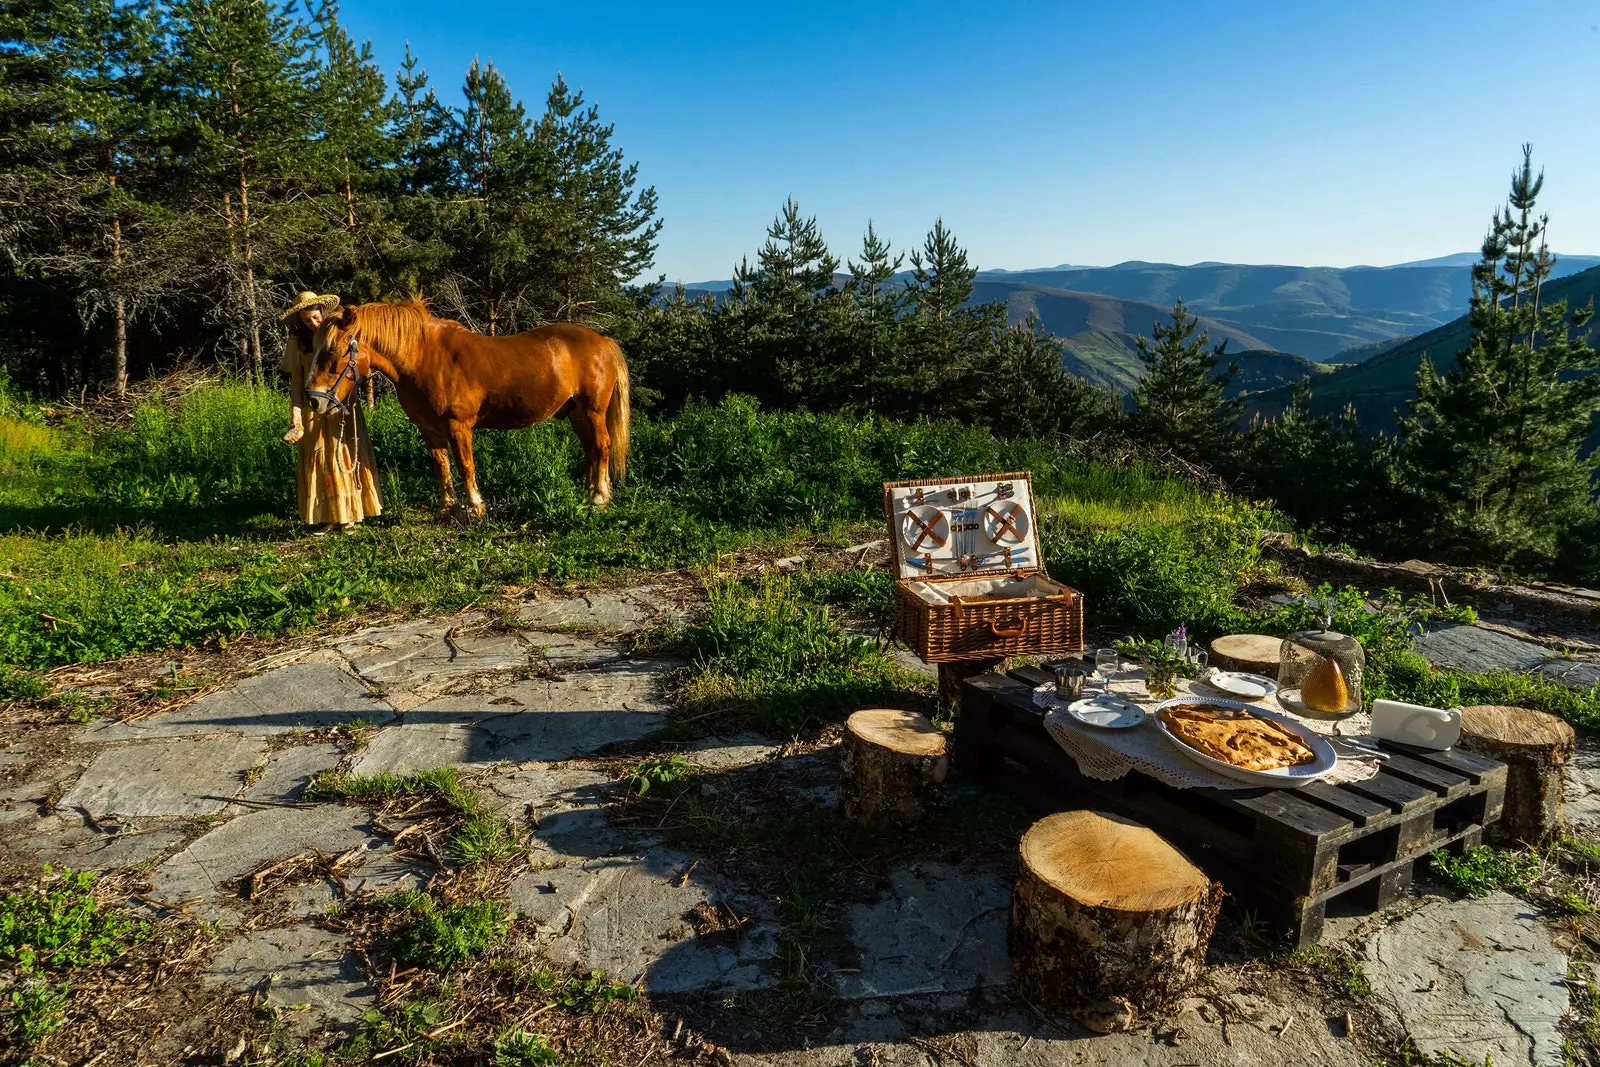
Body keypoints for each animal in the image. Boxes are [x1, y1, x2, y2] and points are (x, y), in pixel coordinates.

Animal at [302, 299, 627, 515]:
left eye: (332, 351)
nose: (313, 399)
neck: (424, 358)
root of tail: (603, 341)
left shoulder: (458, 425)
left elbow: (465, 465)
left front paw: (475, 506)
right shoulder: (429, 429)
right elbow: (442, 465)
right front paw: (447, 507)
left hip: (593, 412)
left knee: (603, 445)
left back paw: (599, 496)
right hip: (576, 414)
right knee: (590, 449)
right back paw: (590, 491)